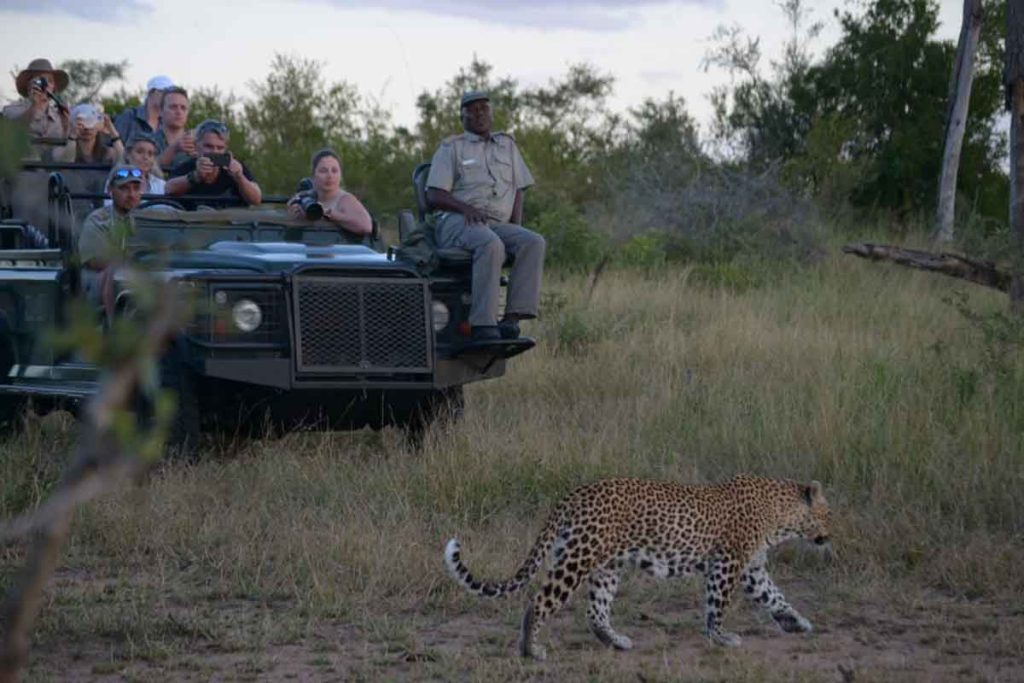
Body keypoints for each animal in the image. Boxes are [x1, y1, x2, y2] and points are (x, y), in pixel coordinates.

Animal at [443, 474, 832, 660]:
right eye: (827, 512)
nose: (830, 534)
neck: (781, 516)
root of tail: (574, 493)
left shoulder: (751, 569)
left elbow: (775, 596)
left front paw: (795, 622)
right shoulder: (729, 562)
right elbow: (717, 604)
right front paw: (721, 637)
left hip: (606, 567)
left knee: (595, 612)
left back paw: (616, 642)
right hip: (578, 558)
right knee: (538, 602)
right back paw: (530, 651)